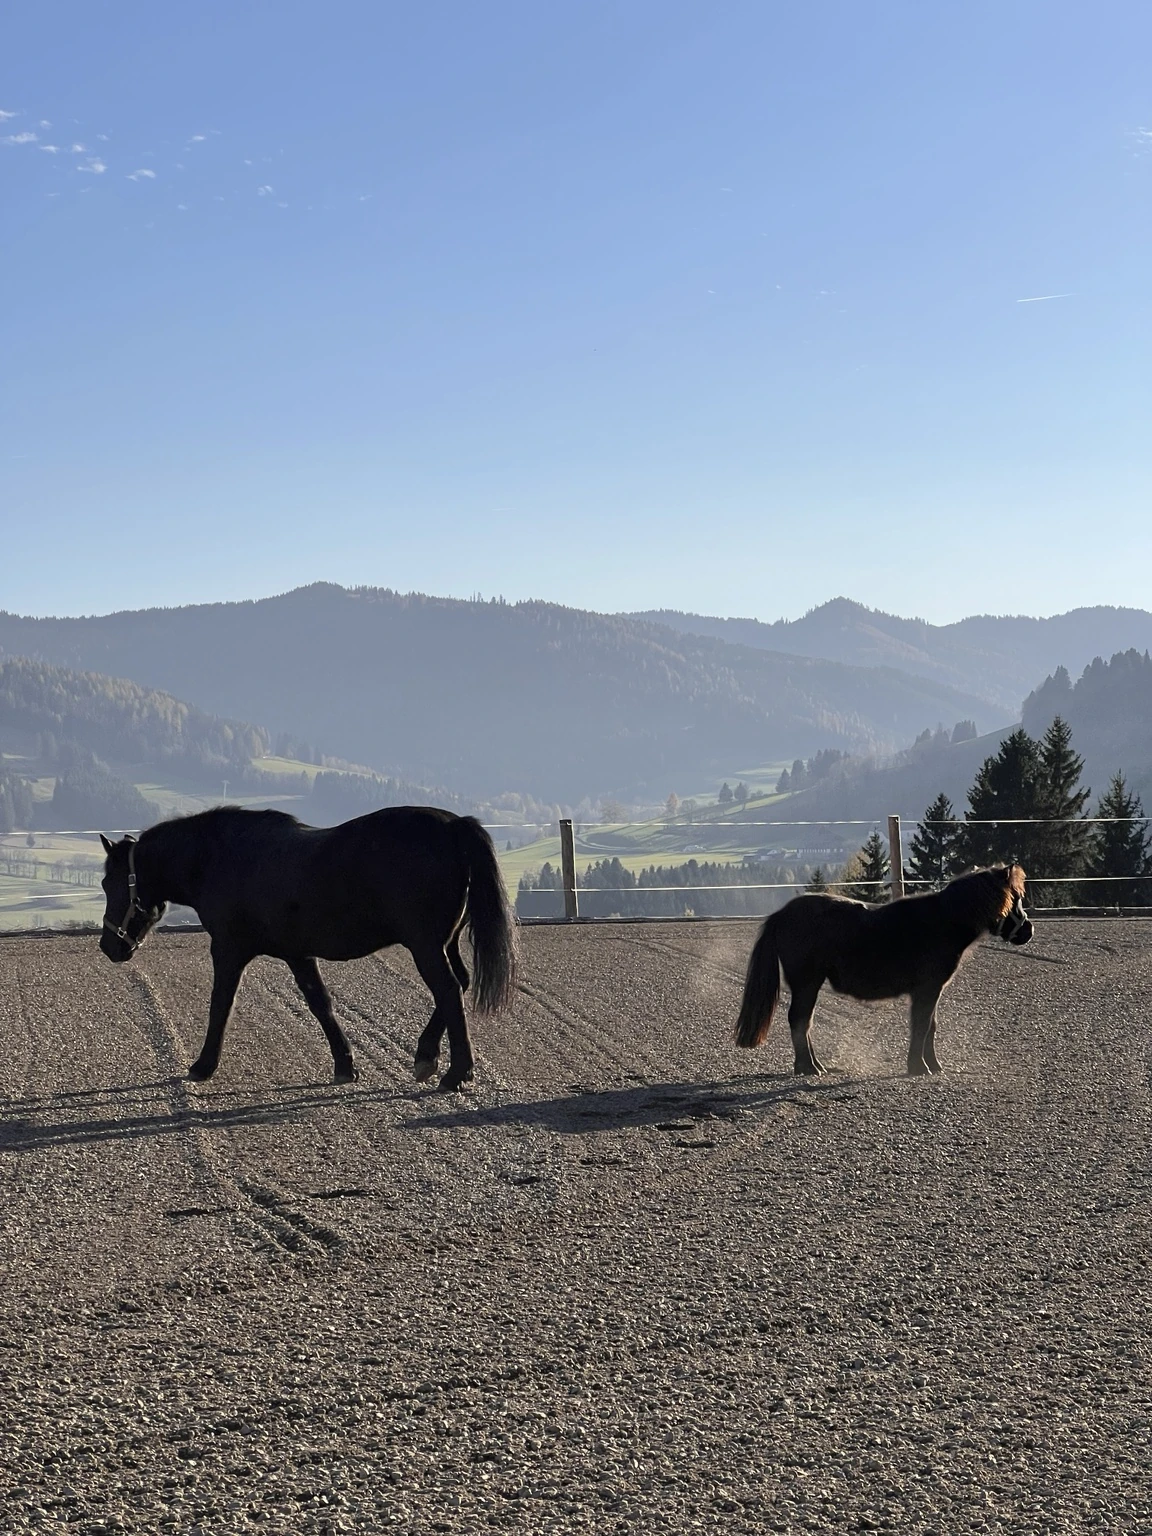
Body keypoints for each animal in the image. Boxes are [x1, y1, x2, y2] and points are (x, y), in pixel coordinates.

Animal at [98, 804, 518, 1091]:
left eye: (109, 883)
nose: (108, 947)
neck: (222, 858)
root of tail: (453, 824)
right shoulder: (297, 954)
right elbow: (321, 1004)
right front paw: (345, 1064)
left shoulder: (229, 950)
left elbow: (221, 1005)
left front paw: (203, 1065)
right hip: (445, 943)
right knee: (459, 983)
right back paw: (427, 1056)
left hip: (426, 946)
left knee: (448, 989)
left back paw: (456, 1072)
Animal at [734, 864, 1033, 1076]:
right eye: (1015, 899)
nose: (1028, 931)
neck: (943, 920)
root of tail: (781, 915)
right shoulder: (927, 990)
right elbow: (921, 1026)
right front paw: (918, 1067)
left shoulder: (932, 991)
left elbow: (931, 1026)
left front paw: (934, 1065)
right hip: (807, 983)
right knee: (800, 1021)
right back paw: (808, 1068)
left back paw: (814, 1065)